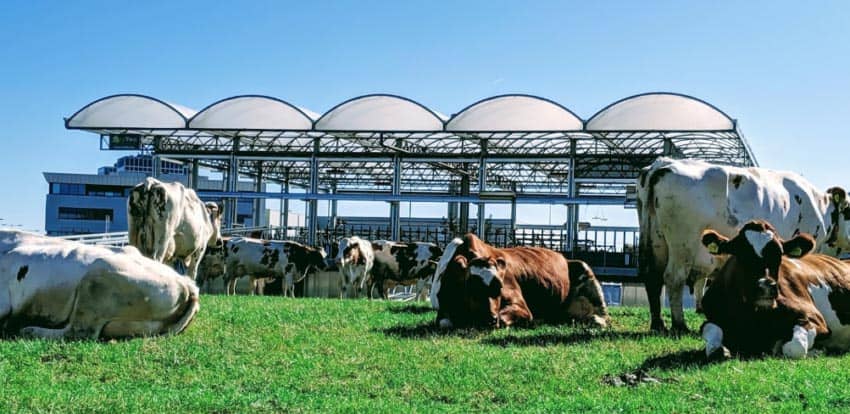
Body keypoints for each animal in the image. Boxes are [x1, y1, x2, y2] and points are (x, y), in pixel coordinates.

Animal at [430, 234, 608, 328]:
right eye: (472, 287)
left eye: (500, 286)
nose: (490, 319)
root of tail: (564, 257)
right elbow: (444, 323)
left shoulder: (521, 307)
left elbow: (505, 318)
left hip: (584, 268)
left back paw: (595, 319)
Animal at [636, 158, 848, 334]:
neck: (822, 207)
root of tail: (662, 164)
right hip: (683, 244)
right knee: (674, 278)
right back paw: (679, 325)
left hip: (654, 241)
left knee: (652, 278)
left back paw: (658, 324)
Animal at [692, 220, 848, 360]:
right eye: (741, 253)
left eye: (779, 254)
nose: (766, 286)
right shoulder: (711, 317)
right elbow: (713, 344)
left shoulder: (815, 319)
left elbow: (793, 348)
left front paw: (816, 351)